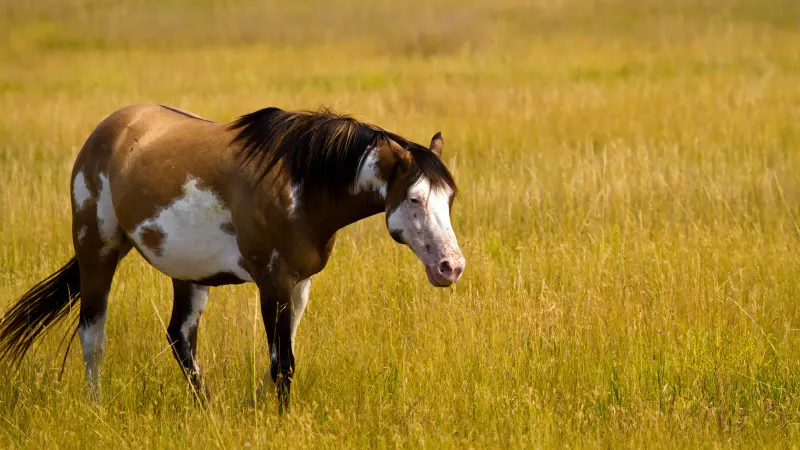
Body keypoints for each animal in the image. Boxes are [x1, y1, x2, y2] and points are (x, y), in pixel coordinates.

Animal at [0, 103, 466, 412]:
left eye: (449, 199)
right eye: (414, 198)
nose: (451, 267)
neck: (301, 183)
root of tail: (109, 129)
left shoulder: (299, 283)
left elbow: (281, 357)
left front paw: (256, 407)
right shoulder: (272, 281)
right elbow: (284, 362)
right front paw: (280, 418)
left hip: (188, 274)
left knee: (180, 337)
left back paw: (206, 409)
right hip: (97, 251)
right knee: (93, 336)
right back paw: (96, 407)